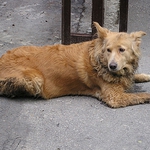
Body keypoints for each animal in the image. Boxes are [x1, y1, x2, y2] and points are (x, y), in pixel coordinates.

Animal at [0, 21, 150, 108]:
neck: (99, 61)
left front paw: (145, 76)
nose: (112, 66)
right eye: (108, 50)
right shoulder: (115, 97)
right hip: (36, 79)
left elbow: (134, 76)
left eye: (122, 50)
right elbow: (141, 95)